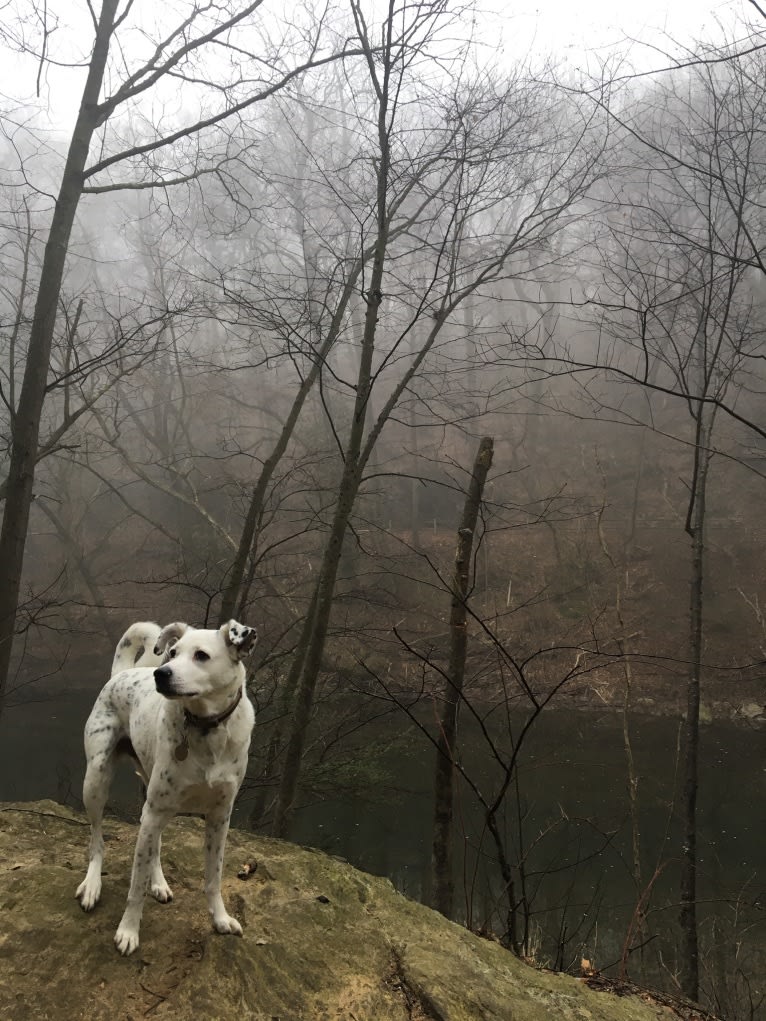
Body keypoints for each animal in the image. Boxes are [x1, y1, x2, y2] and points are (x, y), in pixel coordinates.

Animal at [76, 612, 259, 955]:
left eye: (201, 655)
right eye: (173, 653)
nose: (161, 674)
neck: (205, 730)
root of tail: (123, 672)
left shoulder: (220, 817)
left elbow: (213, 876)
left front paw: (221, 919)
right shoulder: (156, 809)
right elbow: (135, 885)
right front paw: (128, 931)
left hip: (151, 794)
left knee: (154, 844)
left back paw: (158, 882)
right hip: (97, 780)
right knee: (97, 840)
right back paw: (93, 885)